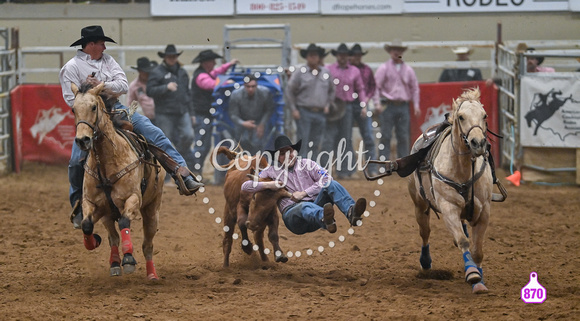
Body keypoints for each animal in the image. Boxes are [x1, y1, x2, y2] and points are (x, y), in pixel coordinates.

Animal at [72, 82, 165, 280]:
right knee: (113, 237)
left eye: (94, 107)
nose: (83, 140)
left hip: (152, 210)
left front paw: (129, 259)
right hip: (107, 215)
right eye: (73, 109)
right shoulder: (91, 203)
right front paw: (93, 242)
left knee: (147, 245)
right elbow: (86, 225)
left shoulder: (133, 199)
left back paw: (151, 274)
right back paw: (114, 263)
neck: (107, 162)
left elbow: (124, 222)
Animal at [370, 87, 506, 292]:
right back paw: (426, 263)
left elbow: (477, 250)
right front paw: (472, 274)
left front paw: (479, 281)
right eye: (461, 117)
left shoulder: (484, 211)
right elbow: (463, 241)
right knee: (425, 233)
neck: (463, 168)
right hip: (420, 206)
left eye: (485, 115)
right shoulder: (448, 208)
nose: (478, 143)